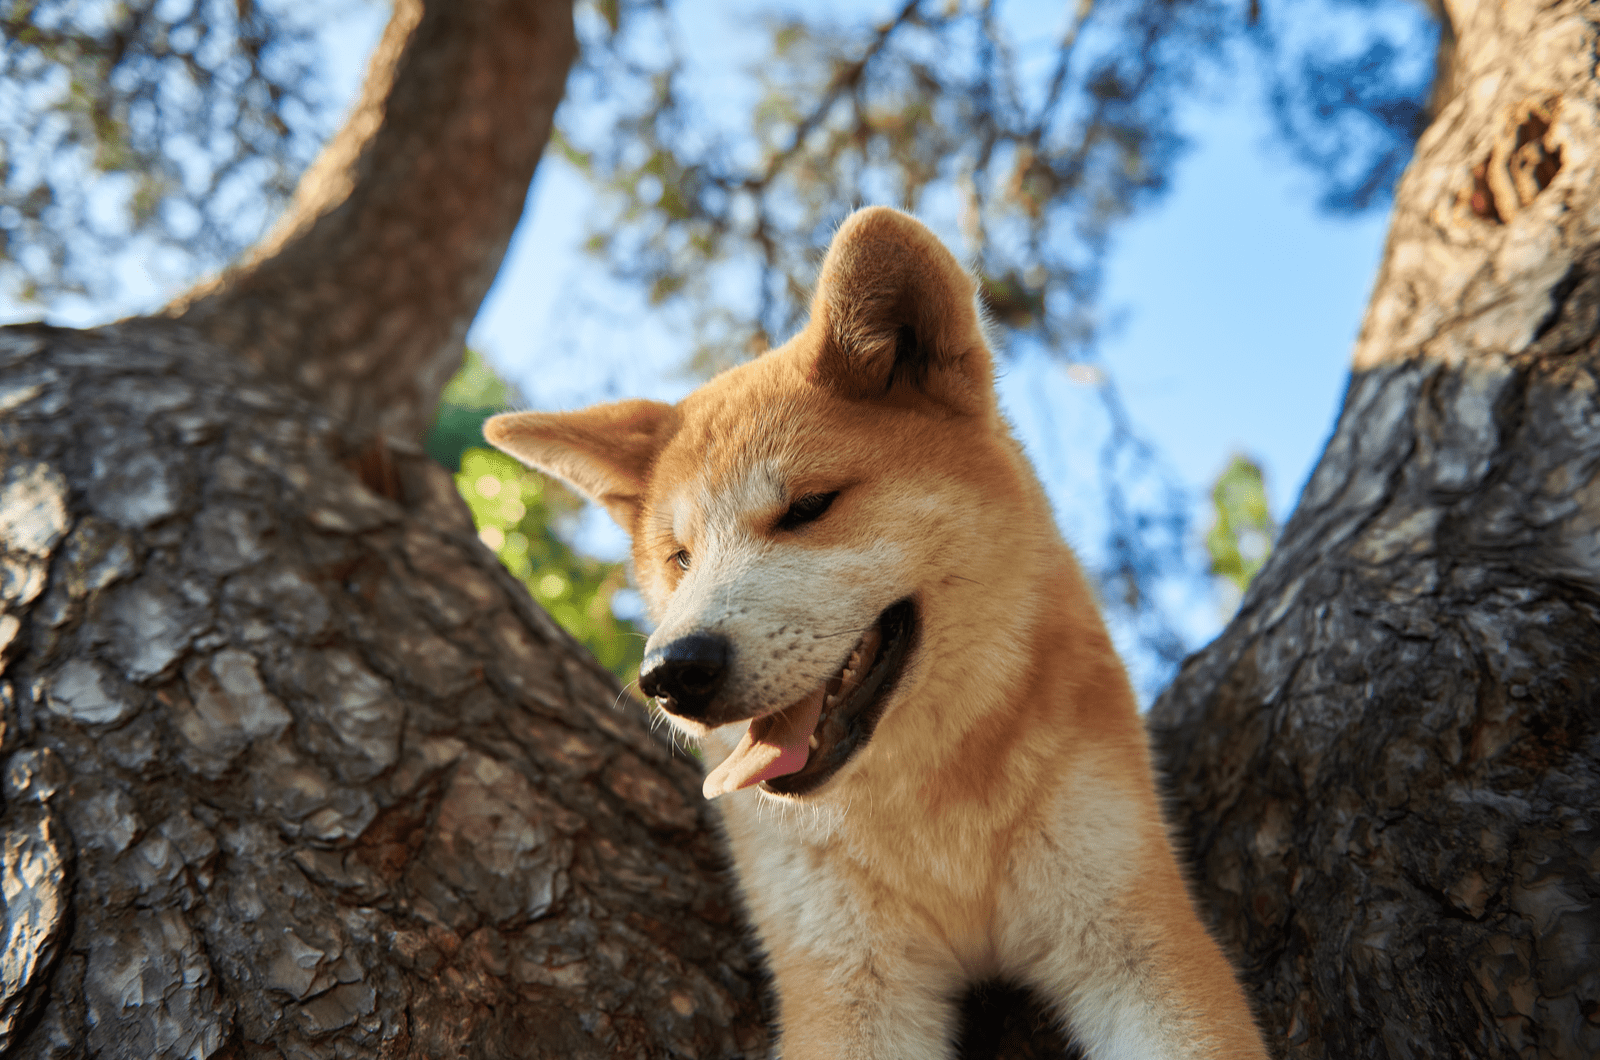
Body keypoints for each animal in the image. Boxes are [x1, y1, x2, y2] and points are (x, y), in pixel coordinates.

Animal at [480, 209, 1267, 1060]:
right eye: (679, 558)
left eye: (807, 507)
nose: (672, 673)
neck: (931, 818)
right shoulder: (847, 985)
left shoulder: (1137, 936)